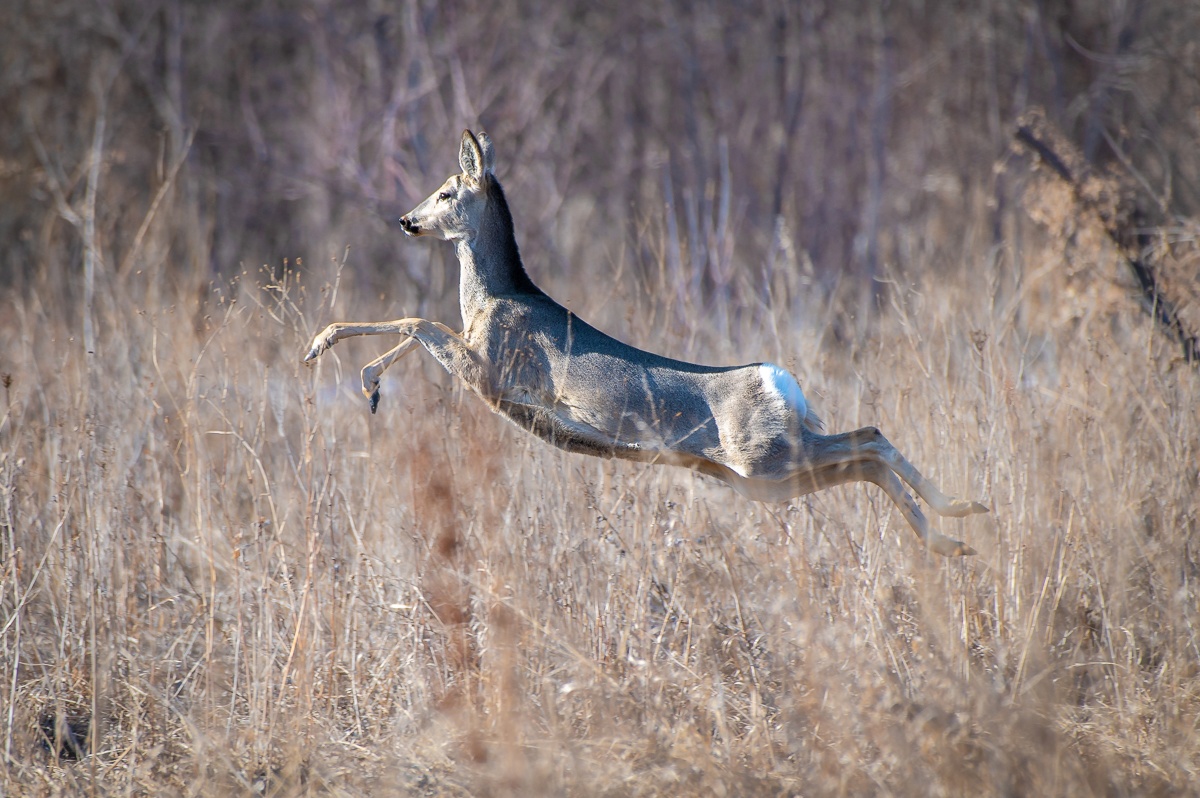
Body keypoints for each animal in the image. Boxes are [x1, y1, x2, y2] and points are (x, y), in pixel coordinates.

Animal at [302, 130, 984, 554]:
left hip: (764, 457)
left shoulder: (492, 369)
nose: (406, 220)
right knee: (867, 448)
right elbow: (417, 324)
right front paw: (363, 379)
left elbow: (417, 321)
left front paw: (331, 350)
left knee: (869, 440)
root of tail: (781, 380)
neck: (493, 296)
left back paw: (954, 522)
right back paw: (954, 530)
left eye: (447, 191)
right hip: (767, 476)